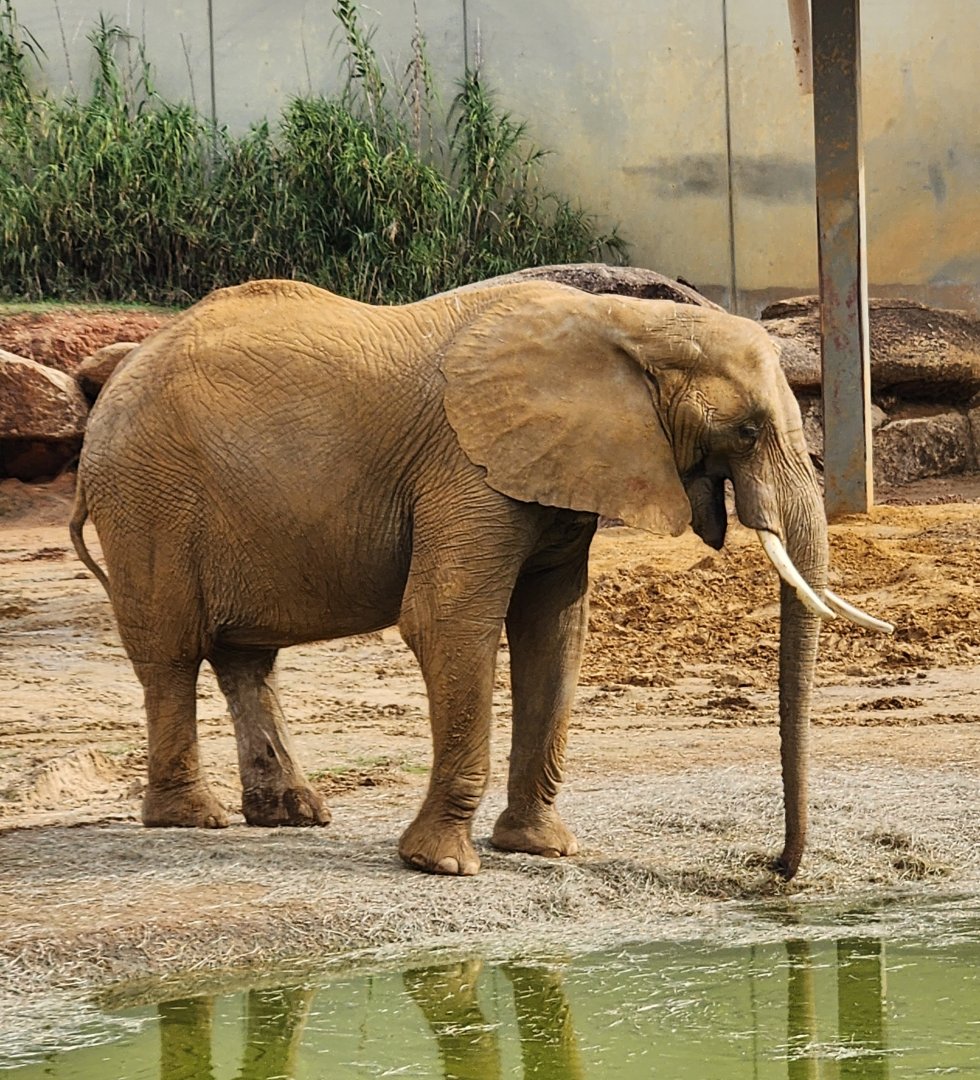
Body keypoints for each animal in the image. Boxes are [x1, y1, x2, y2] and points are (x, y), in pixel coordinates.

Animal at [70, 277, 890, 879]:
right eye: (747, 431)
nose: (775, 869)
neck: (627, 322)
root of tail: (106, 392)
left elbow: (554, 627)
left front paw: (541, 850)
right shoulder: (466, 468)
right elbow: (448, 619)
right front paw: (443, 867)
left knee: (245, 658)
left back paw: (293, 814)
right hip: (149, 497)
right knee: (171, 651)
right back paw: (191, 817)